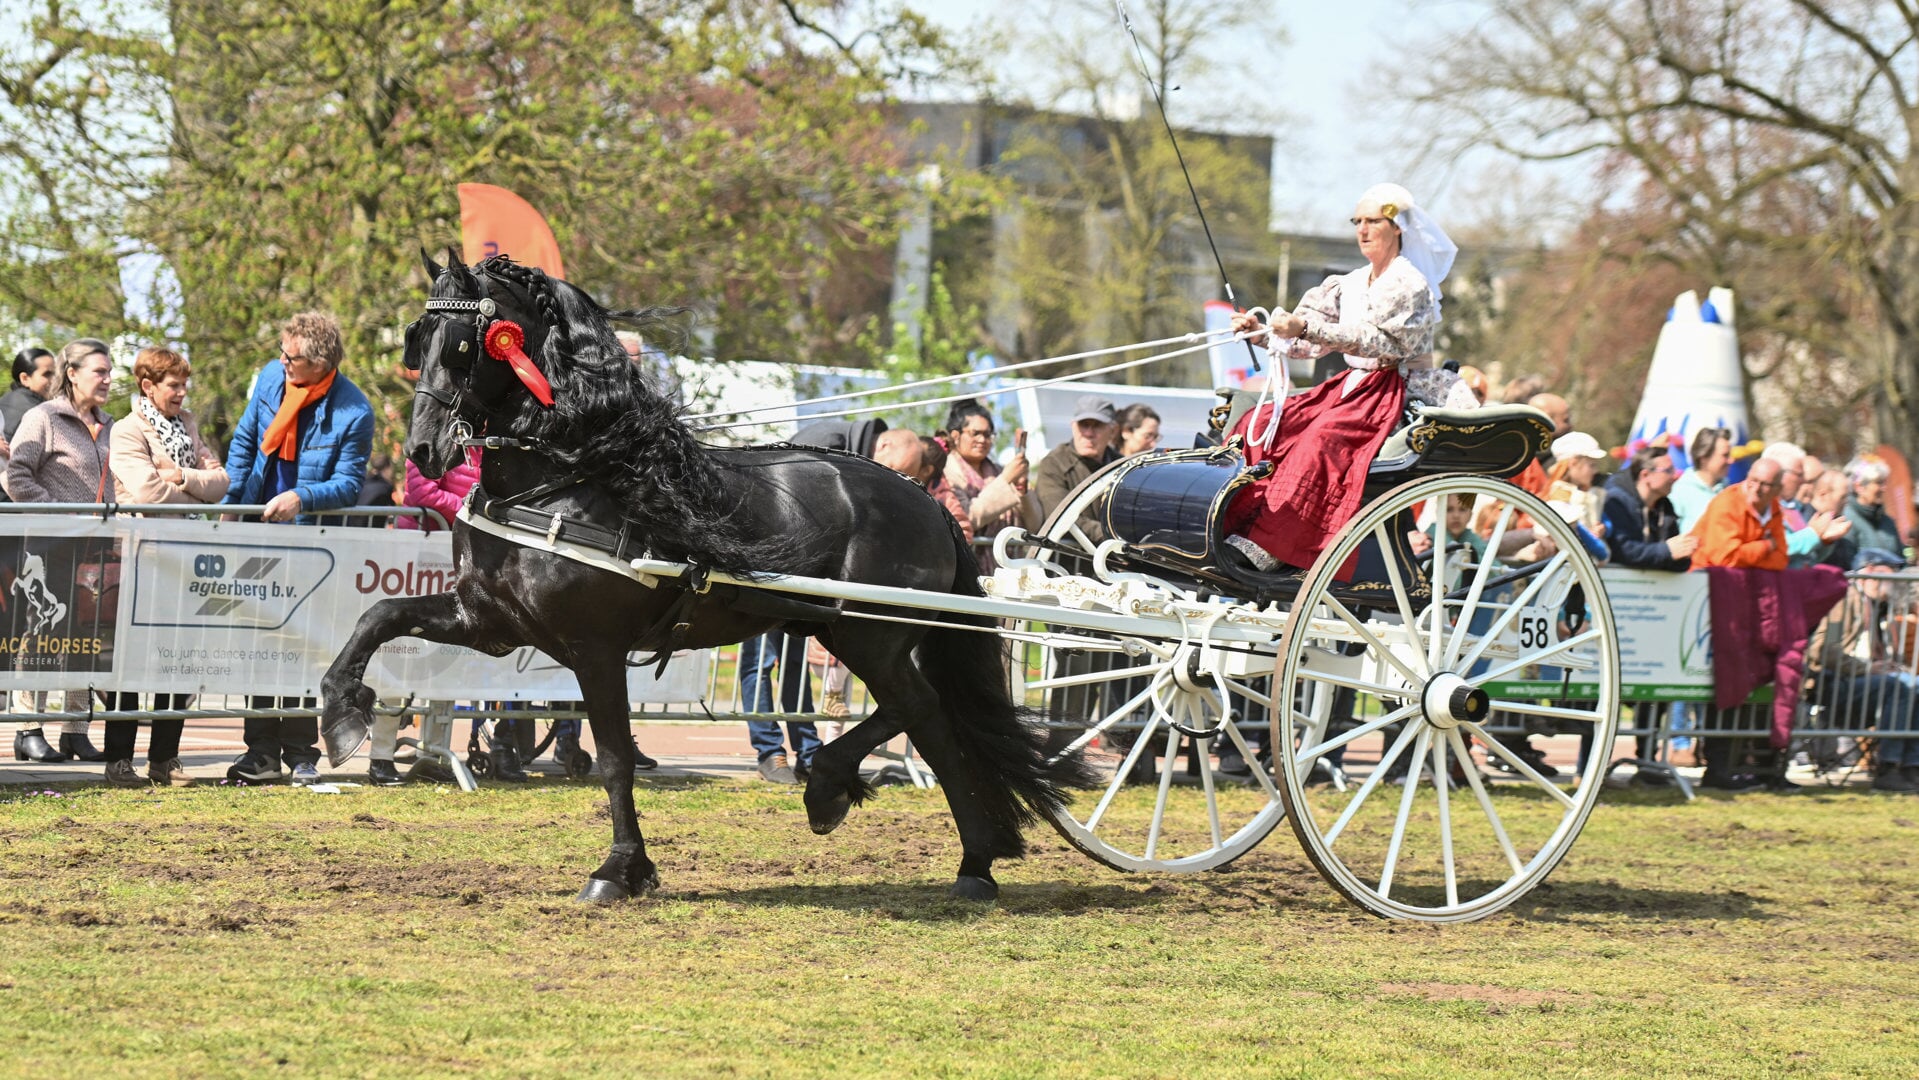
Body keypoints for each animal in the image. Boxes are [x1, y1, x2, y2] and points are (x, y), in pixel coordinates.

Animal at [322, 253, 1089, 905]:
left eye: (462, 345)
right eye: (417, 339)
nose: (423, 449)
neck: (570, 479)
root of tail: (925, 498)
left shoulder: (595, 649)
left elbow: (615, 759)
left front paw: (618, 871)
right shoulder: (491, 623)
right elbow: (378, 616)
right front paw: (341, 717)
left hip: (868, 634)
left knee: (918, 708)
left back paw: (836, 791)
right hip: (849, 634)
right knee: (929, 721)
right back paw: (971, 862)